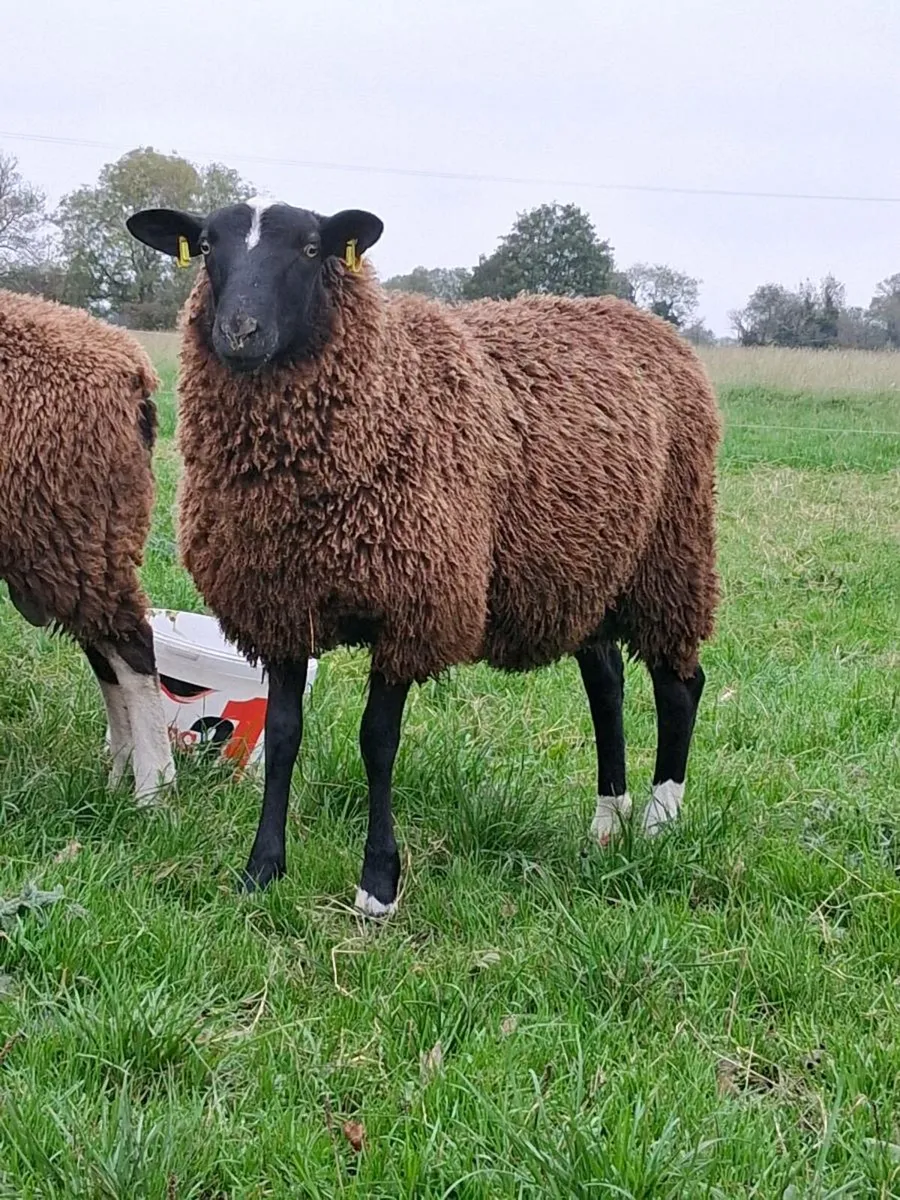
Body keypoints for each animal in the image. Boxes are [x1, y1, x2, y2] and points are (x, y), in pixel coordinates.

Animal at [0, 289, 176, 802]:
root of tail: (133, 369)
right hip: (80, 544)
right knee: (104, 651)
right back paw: (118, 773)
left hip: (66, 529)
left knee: (131, 648)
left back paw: (153, 788)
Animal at [126, 198, 720, 914]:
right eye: (209, 246)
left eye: (311, 249)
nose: (240, 331)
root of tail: (645, 320)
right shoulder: (283, 606)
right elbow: (284, 735)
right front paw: (262, 870)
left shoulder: (412, 605)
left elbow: (377, 743)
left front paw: (378, 883)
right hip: (584, 570)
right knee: (606, 685)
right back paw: (607, 825)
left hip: (671, 555)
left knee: (680, 685)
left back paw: (660, 823)